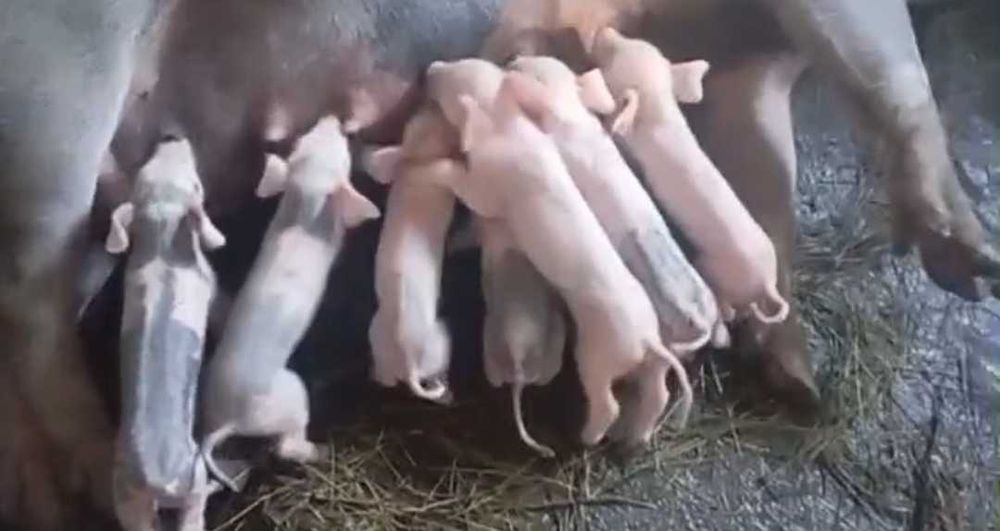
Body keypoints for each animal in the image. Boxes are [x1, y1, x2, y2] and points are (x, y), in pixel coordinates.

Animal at [104, 137, 225, 531]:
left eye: (141, 173)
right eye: (197, 186)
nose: (172, 136)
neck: (162, 248)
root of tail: (154, 479)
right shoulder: (209, 283)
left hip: (125, 496)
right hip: (193, 472)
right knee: (194, 510)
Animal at [201, 115, 379, 492]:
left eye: (301, 140)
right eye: (341, 154)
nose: (333, 119)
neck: (302, 212)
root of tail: (230, 420)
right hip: (292, 395)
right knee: (287, 444)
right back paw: (320, 451)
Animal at [364, 106, 459, 403]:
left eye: (411, 121)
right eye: (439, 128)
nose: (432, 104)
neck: (414, 164)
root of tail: (409, 362)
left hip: (376, 334)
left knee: (387, 380)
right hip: (440, 336)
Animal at [589, 27, 789, 326]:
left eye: (613, 56)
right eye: (631, 41)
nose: (604, 29)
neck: (659, 110)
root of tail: (767, 282)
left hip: (715, 271)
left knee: (728, 308)